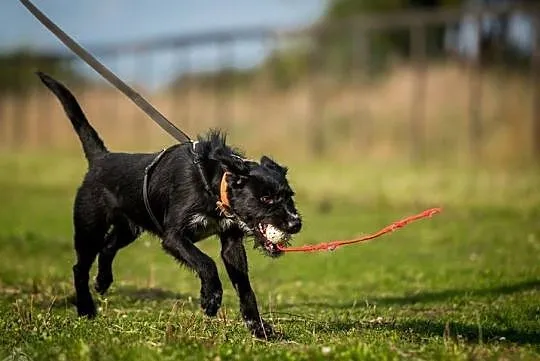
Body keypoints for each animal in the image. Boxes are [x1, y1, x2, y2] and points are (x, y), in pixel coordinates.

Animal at [37, 72, 300, 338]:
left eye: (289, 196)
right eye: (265, 198)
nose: (295, 224)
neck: (212, 183)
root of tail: (101, 158)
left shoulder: (231, 243)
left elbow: (245, 288)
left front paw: (259, 328)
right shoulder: (174, 237)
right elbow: (205, 262)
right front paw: (211, 298)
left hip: (128, 228)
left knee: (108, 247)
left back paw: (102, 281)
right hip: (89, 229)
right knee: (79, 267)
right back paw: (85, 308)